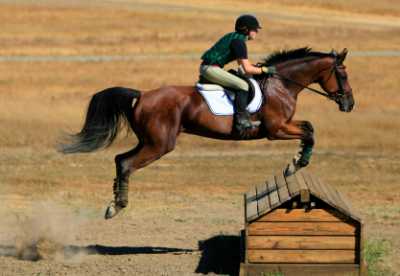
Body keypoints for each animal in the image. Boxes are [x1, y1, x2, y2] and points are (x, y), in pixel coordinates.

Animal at [58, 48, 354, 220]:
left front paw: (295, 163)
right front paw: (296, 165)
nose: (349, 104)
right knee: (127, 164)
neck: (281, 84)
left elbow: (309, 128)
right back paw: (117, 206)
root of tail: (141, 95)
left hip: (149, 141)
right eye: (342, 74)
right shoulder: (276, 129)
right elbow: (309, 132)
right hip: (159, 145)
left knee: (120, 160)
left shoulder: (285, 125)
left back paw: (114, 202)